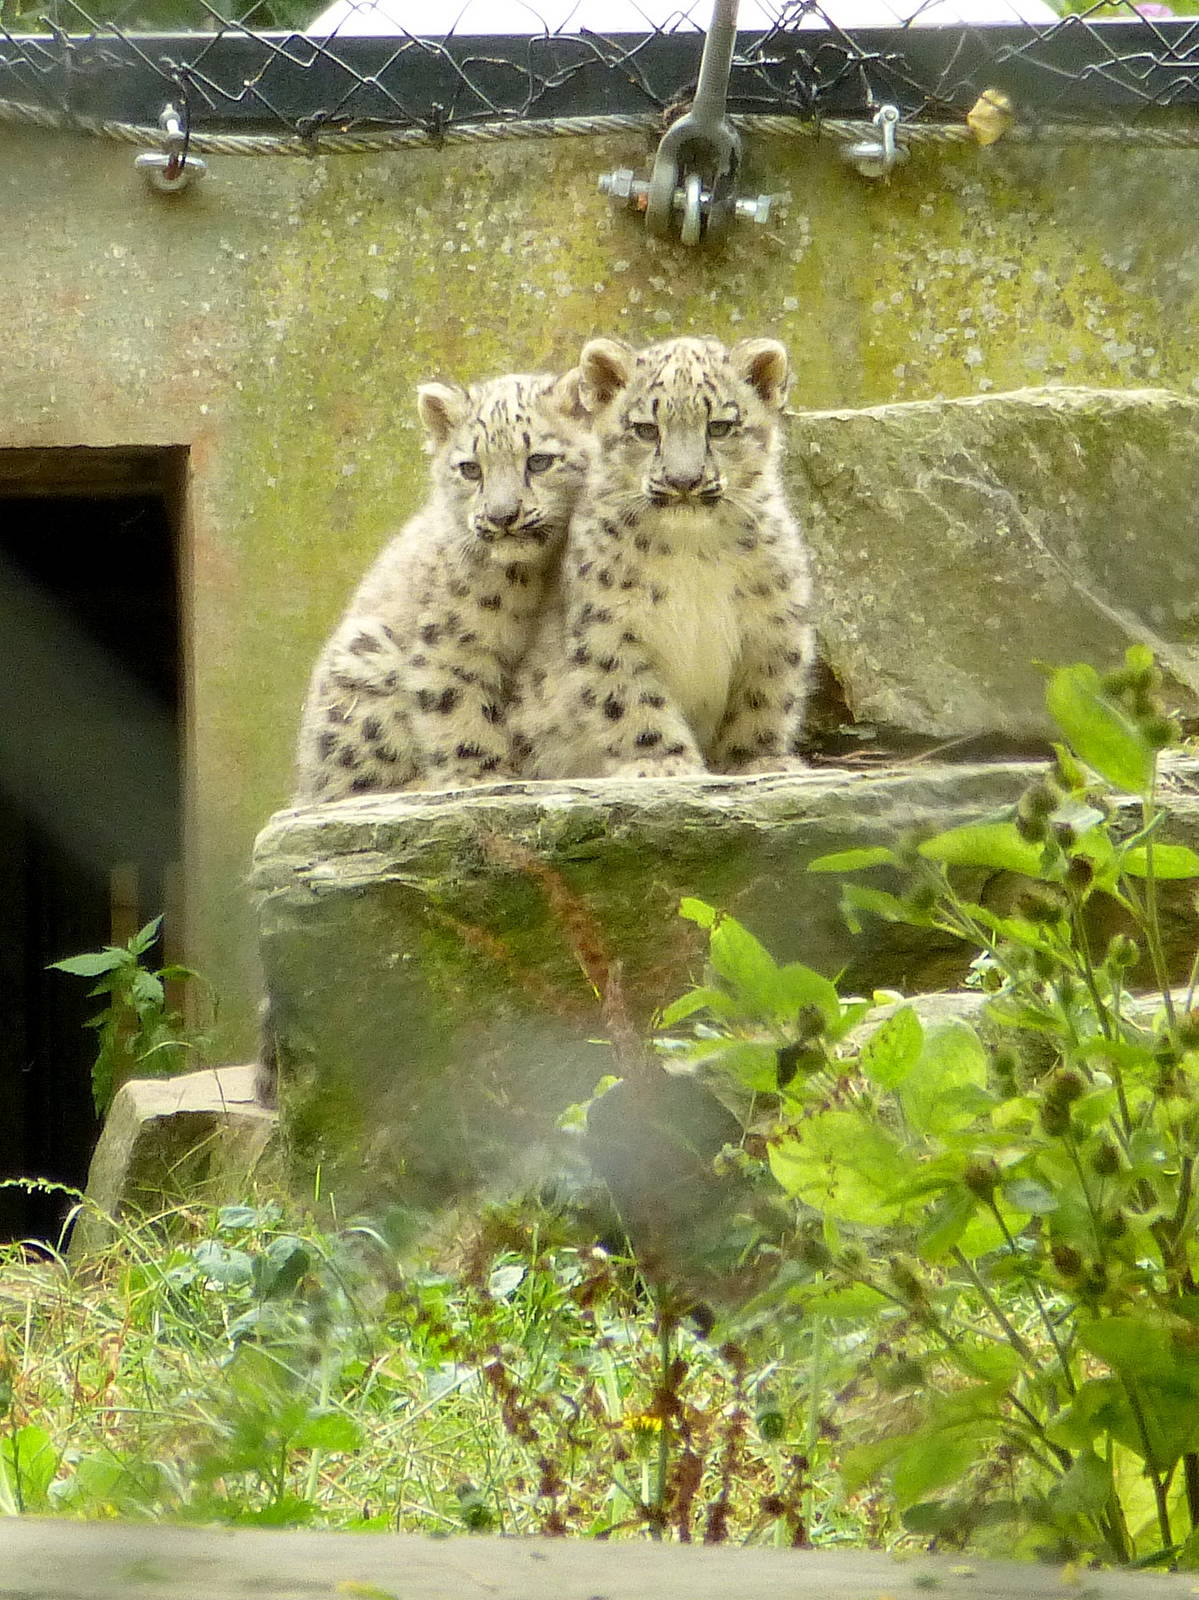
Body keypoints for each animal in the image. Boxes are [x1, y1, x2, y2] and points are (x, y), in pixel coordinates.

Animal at [293, 366, 588, 804]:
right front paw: (479, 777)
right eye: (470, 468)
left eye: (539, 461)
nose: (502, 516)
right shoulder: (453, 640)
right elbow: (454, 704)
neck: (531, 577)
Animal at [508, 334, 814, 781]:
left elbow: (764, 695)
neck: (693, 551)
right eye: (645, 429)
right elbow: (632, 699)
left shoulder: (773, 619)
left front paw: (759, 758)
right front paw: (662, 762)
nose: (683, 481)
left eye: (719, 426)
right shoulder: (610, 625)